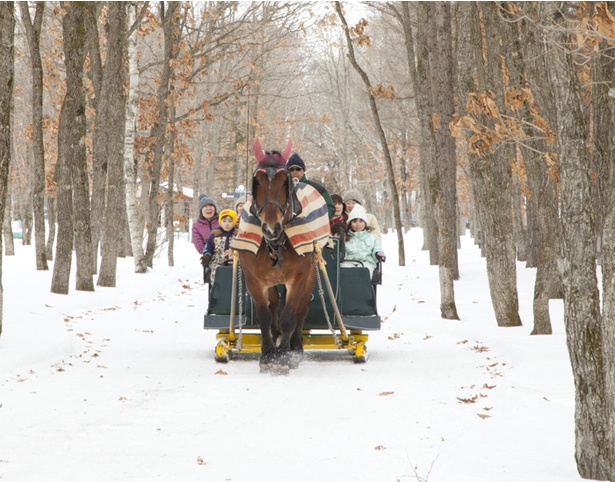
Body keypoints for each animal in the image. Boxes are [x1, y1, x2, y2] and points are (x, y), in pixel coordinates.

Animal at [231, 138, 330, 372]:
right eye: (256, 182)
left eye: (285, 181)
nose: (270, 228)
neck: (275, 244)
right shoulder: (254, 279)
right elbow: (265, 315)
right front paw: (268, 355)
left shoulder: (298, 278)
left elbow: (289, 316)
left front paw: (284, 356)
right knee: (275, 304)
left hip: (310, 276)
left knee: (301, 310)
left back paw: (295, 347)